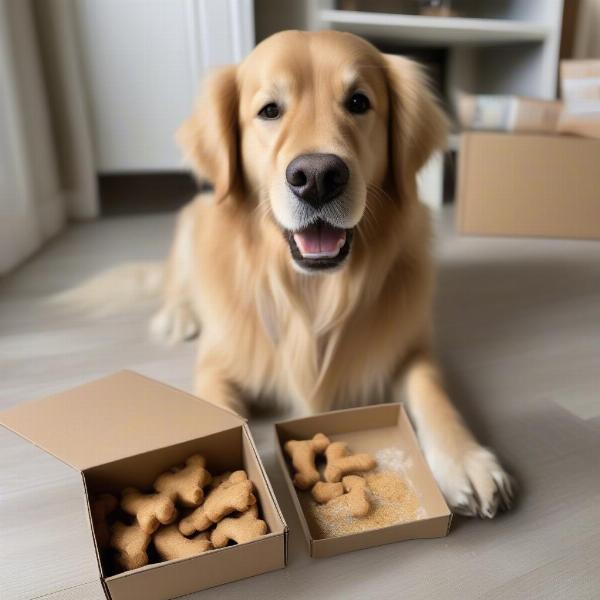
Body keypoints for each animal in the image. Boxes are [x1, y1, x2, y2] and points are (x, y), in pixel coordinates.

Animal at [119, 29, 512, 516]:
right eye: (269, 110)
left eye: (359, 102)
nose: (318, 176)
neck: (311, 292)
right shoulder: (218, 362)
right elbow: (218, 412)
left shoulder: (411, 346)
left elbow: (433, 392)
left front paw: (466, 460)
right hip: (192, 220)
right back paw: (177, 315)